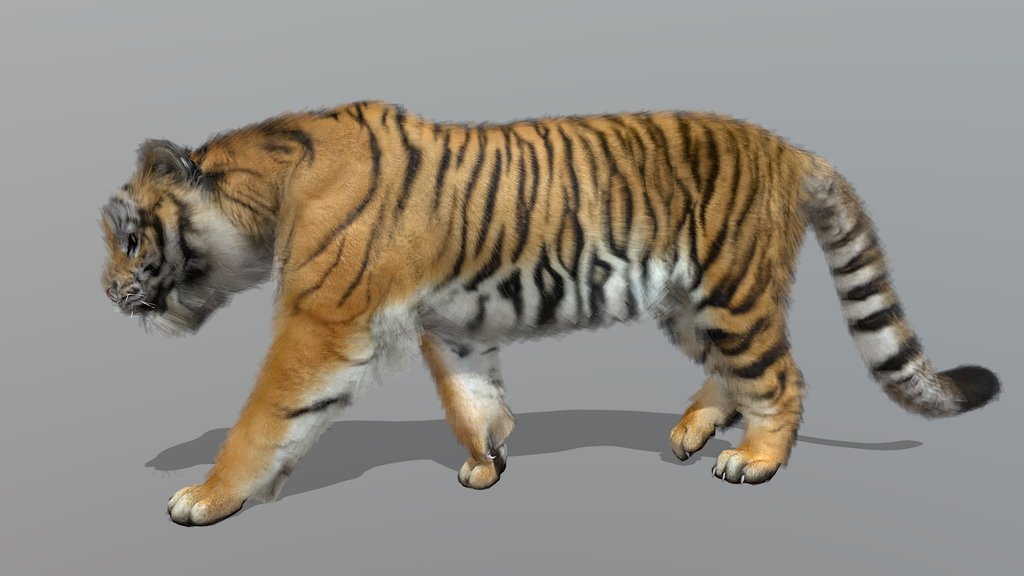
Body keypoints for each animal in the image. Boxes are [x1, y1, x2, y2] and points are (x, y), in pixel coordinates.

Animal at [100, 101, 1000, 526]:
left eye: (129, 235)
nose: (105, 293)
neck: (267, 196)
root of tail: (790, 147)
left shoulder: (322, 323)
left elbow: (264, 418)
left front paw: (205, 498)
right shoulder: (449, 322)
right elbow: (469, 397)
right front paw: (486, 461)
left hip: (733, 291)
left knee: (782, 378)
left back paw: (754, 460)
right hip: (689, 304)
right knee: (731, 373)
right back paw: (694, 431)